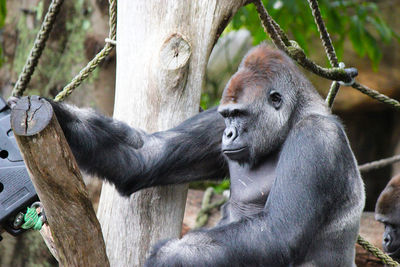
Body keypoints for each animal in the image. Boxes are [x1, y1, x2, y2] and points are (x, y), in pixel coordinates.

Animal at [16, 45, 366, 266]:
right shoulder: (213, 121)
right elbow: (145, 157)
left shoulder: (316, 139)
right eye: (227, 116)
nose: (229, 134)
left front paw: (167, 256)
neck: (293, 116)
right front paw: (56, 113)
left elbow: (278, 233)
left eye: (240, 115)